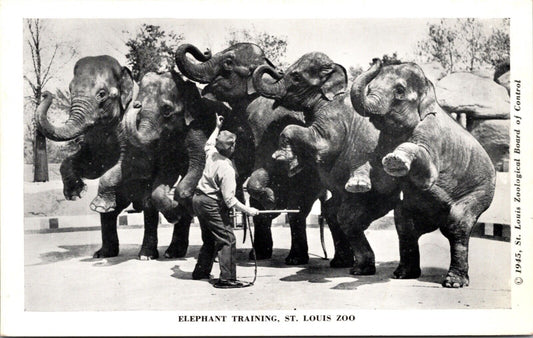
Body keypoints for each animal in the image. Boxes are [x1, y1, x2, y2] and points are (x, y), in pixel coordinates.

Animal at [172, 42, 348, 266]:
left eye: (228, 63)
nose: (205, 51)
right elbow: (239, 165)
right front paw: (268, 199)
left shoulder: (268, 125)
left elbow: (266, 164)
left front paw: (271, 200)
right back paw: (266, 254)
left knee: (303, 208)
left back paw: (300, 259)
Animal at [252, 52, 400, 274]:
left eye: (296, 76)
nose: (274, 68)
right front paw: (293, 164)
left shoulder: (333, 119)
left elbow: (321, 144)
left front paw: (282, 157)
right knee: (334, 211)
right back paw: (342, 263)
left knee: (351, 213)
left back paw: (359, 267)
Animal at [352, 58, 496, 288]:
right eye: (371, 87)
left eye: (399, 90)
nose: (377, 60)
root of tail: (436, 224)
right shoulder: (384, 139)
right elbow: (380, 177)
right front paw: (357, 184)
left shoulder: (432, 132)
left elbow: (428, 177)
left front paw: (395, 159)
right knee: (404, 223)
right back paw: (403, 274)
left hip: (481, 193)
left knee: (458, 225)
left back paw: (453, 283)